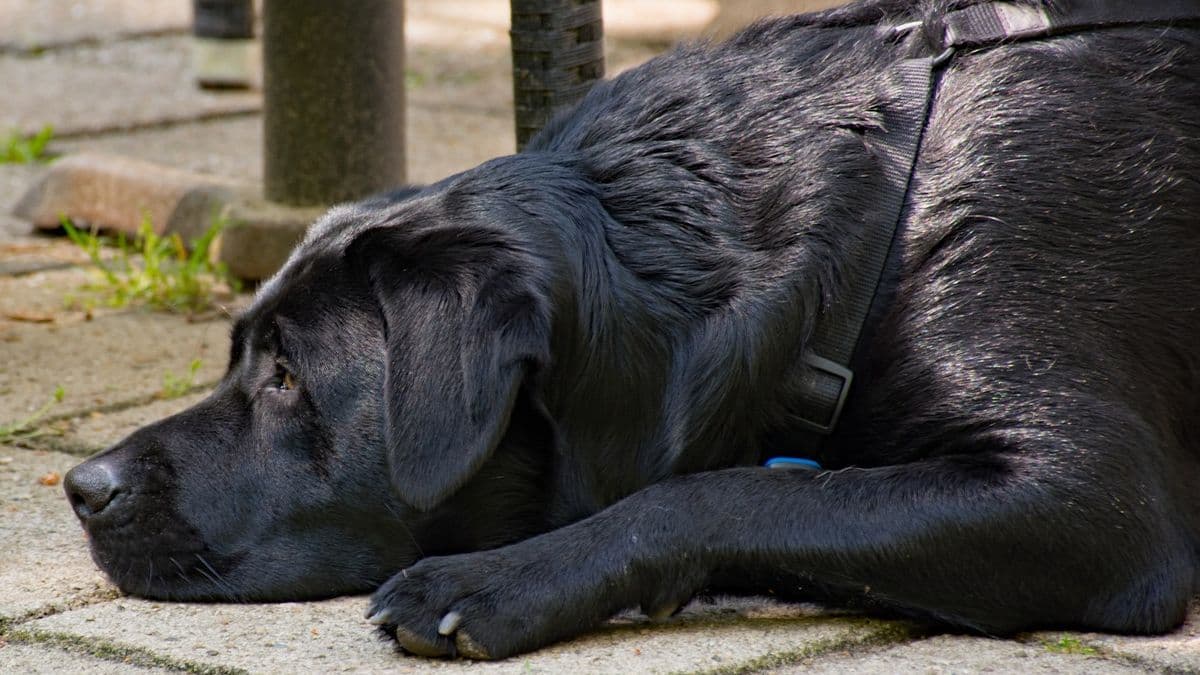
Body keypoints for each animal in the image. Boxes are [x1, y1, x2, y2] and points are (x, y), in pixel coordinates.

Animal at [63, 0, 1200, 658]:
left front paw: (504, 580)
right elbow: (780, 496)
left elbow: (721, 494)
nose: (80, 486)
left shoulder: (1090, 500)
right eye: (241, 358)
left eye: (289, 377)